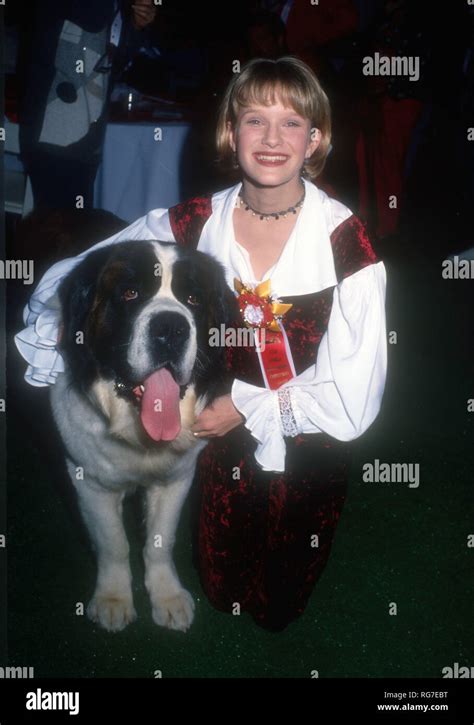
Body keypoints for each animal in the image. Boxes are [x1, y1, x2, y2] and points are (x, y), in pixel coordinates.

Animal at [50, 240, 239, 632]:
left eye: (194, 299)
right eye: (129, 293)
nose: (171, 328)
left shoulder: (176, 478)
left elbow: (159, 540)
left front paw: (167, 597)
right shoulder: (89, 482)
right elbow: (113, 543)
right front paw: (113, 599)